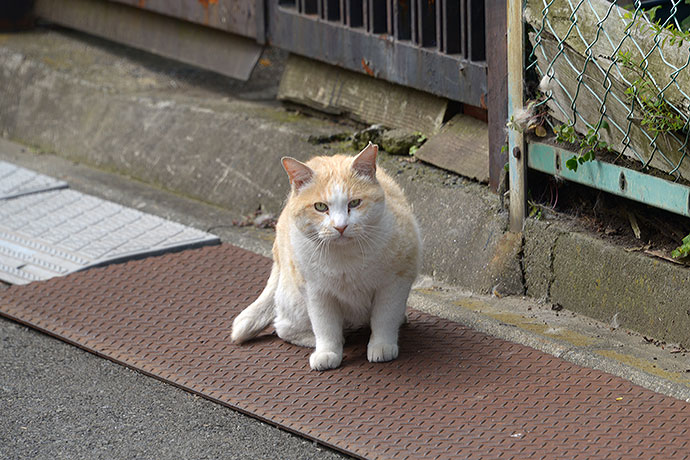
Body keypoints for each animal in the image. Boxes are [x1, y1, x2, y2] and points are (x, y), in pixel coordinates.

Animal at [230, 144, 420, 370]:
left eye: (354, 203)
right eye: (320, 207)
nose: (340, 226)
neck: (346, 258)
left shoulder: (394, 283)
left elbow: (385, 318)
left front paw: (382, 345)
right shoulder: (316, 292)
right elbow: (325, 326)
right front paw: (328, 351)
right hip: (296, 302)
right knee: (283, 328)